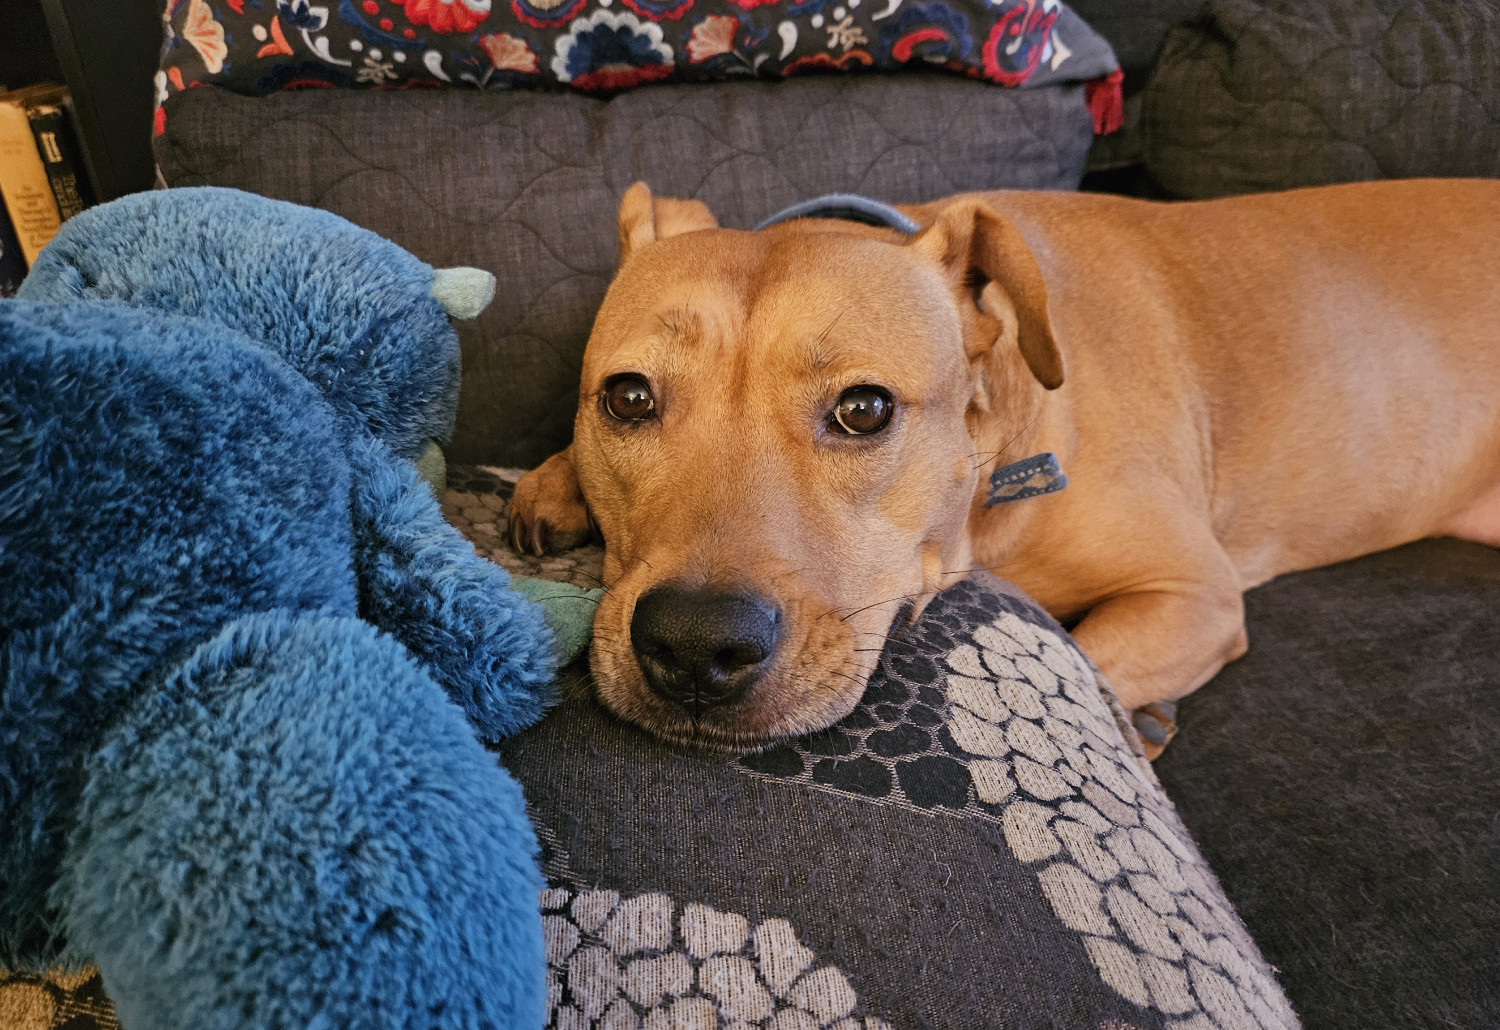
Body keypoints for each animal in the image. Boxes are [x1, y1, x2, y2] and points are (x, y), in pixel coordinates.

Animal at [513, 179, 1500, 749]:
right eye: (627, 398)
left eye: (864, 410)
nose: (692, 644)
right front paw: (555, 480)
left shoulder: (1194, 594)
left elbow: (1090, 665)